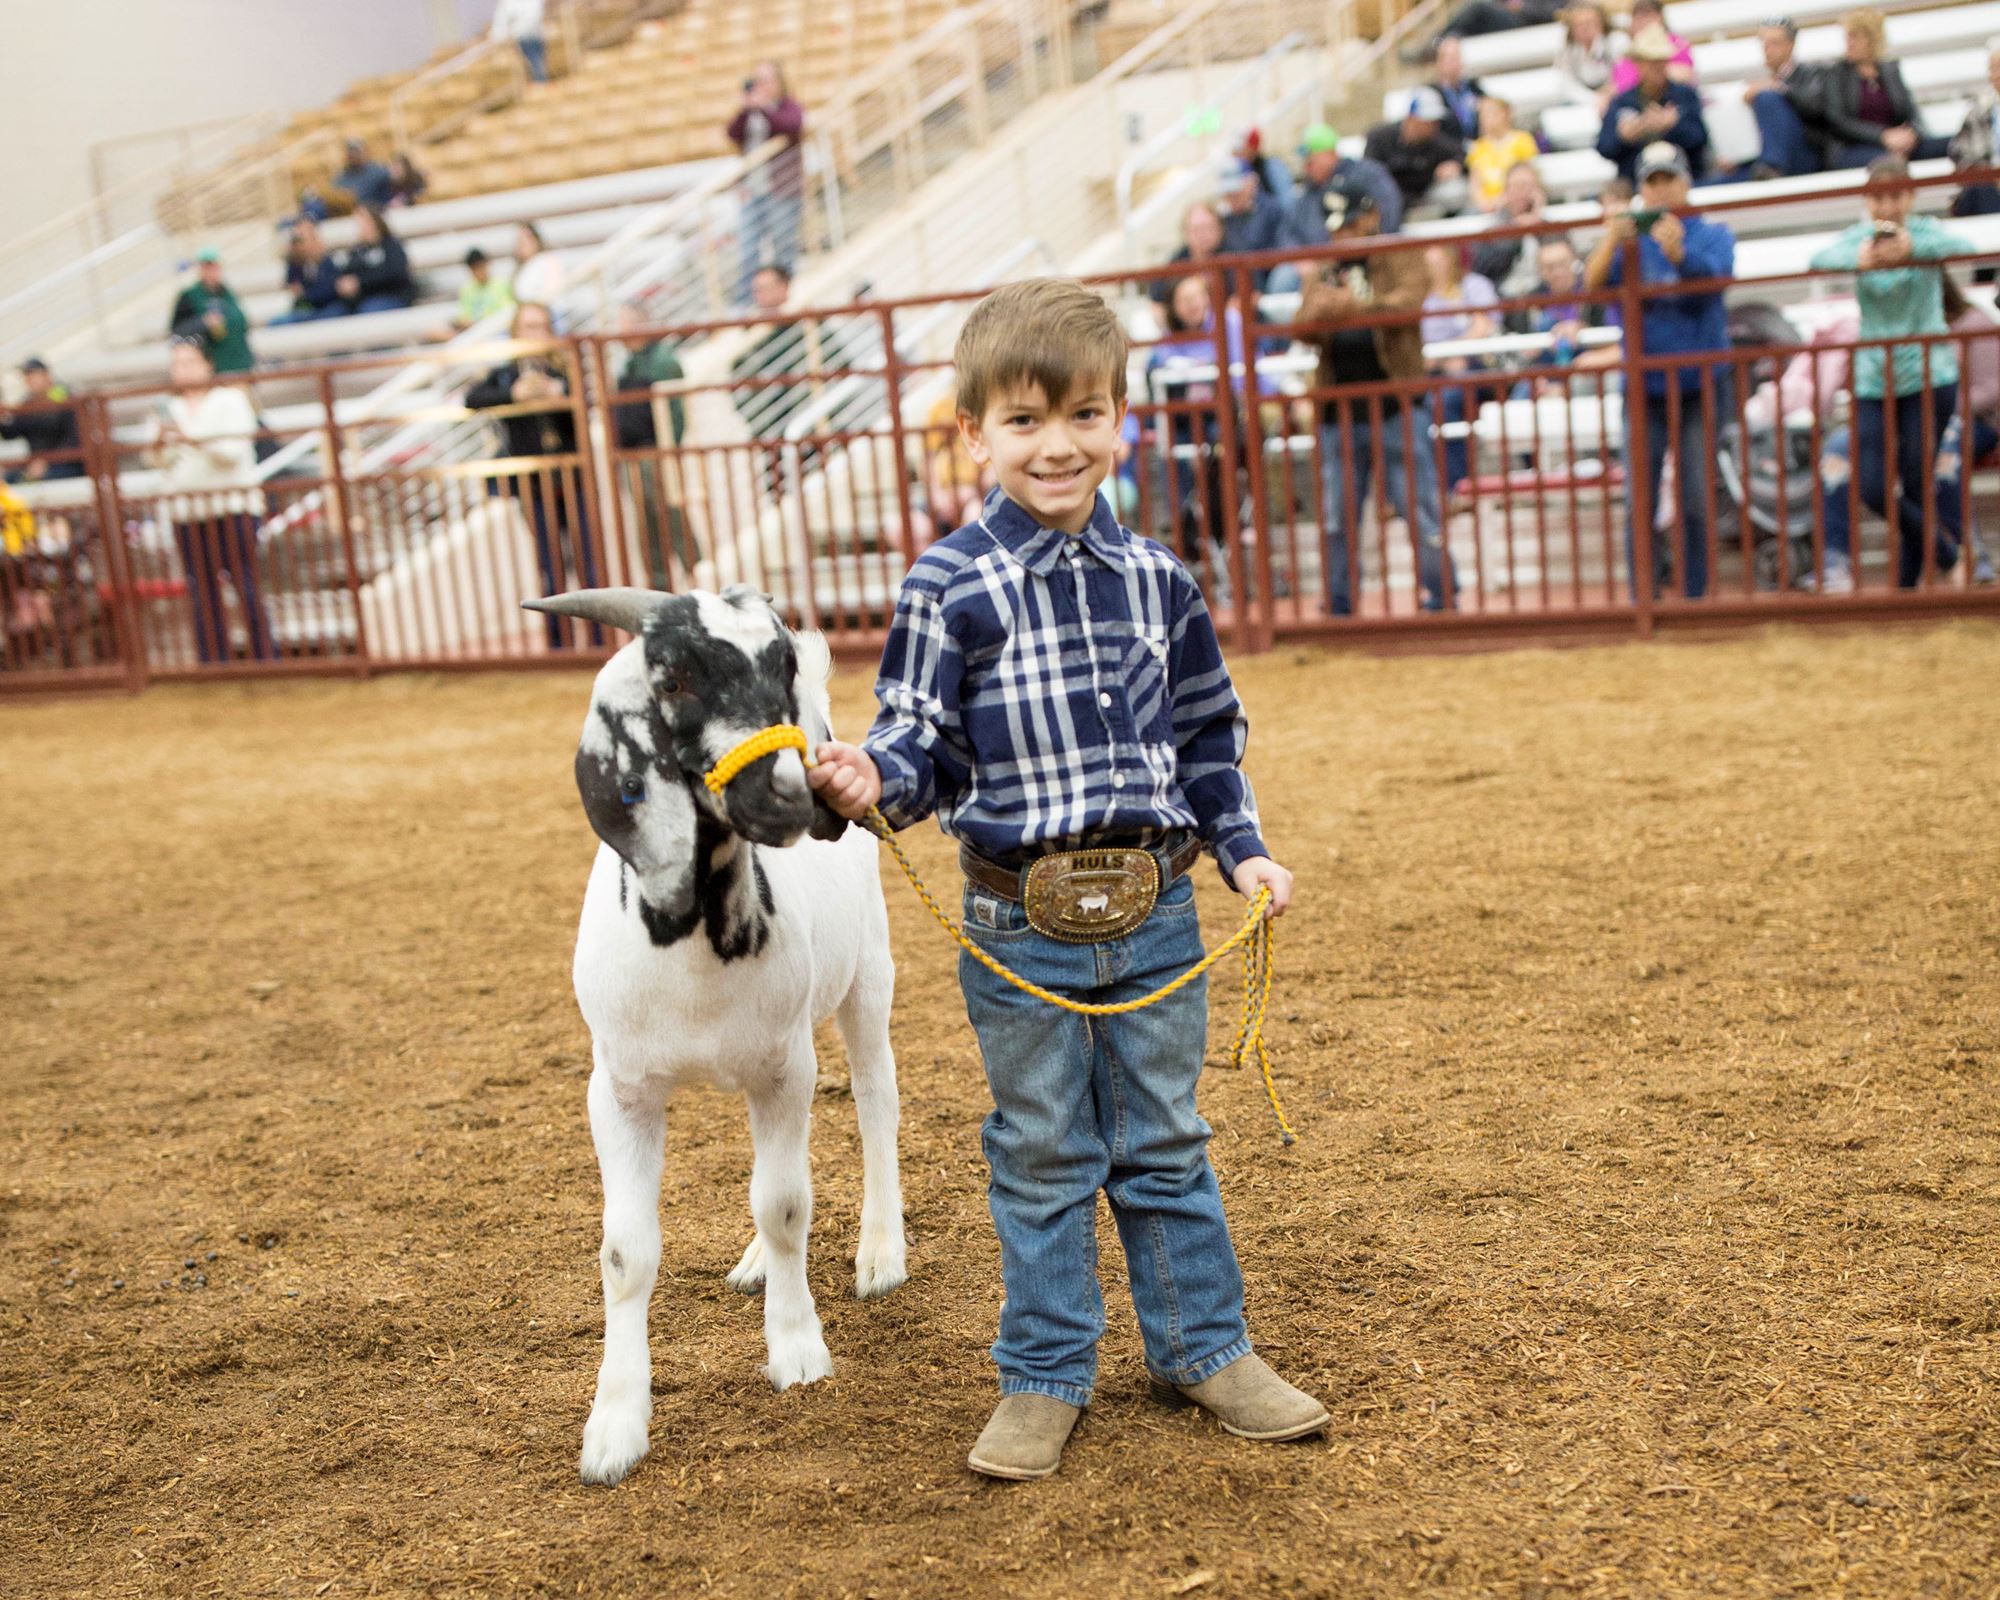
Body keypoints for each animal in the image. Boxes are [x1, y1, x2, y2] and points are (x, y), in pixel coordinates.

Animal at [528, 580, 912, 1488]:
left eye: (780, 668)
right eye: (671, 678)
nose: (791, 796)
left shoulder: (784, 1069)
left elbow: (785, 1203)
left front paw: (797, 1348)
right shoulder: (618, 1090)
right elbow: (626, 1252)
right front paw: (614, 1426)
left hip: (868, 975)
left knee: (876, 1101)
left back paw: (880, 1252)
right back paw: (754, 1263)